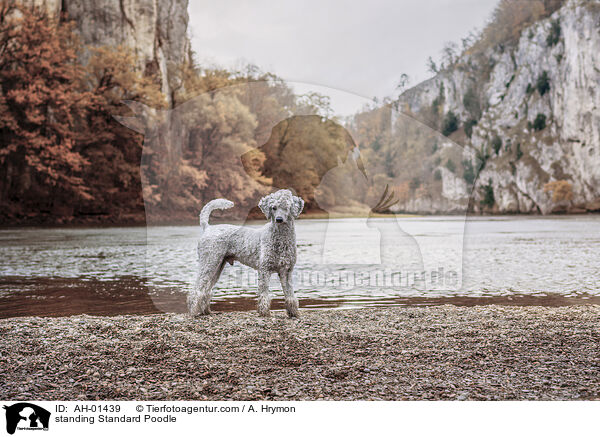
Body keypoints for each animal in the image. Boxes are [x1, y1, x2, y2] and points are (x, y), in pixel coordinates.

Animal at [189, 189, 304, 318]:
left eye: (287, 207)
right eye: (274, 207)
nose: (279, 219)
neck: (280, 239)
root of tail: (207, 227)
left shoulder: (286, 271)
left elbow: (290, 294)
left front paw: (293, 312)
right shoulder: (264, 269)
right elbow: (264, 294)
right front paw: (264, 312)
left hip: (217, 266)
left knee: (206, 290)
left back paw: (206, 311)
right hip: (209, 263)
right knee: (197, 290)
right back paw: (194, 312)